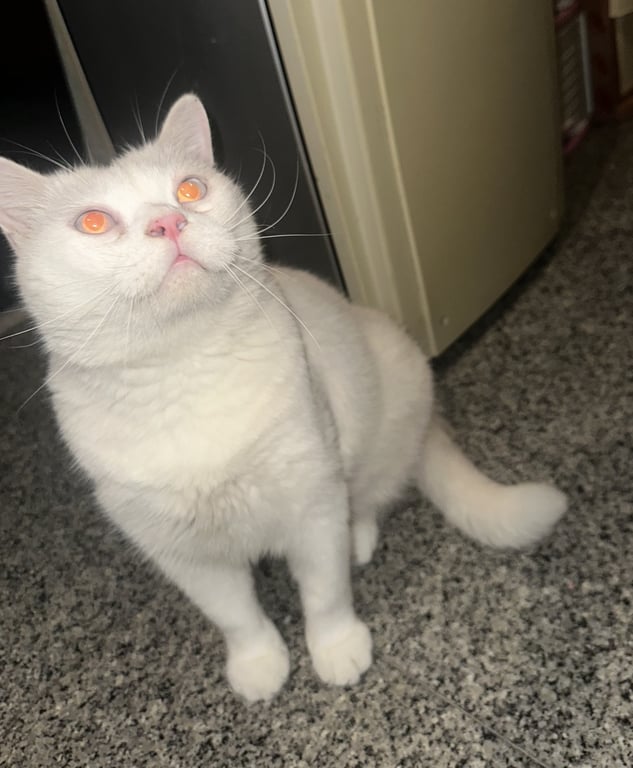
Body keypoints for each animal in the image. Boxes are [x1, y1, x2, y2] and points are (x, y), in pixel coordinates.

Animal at [0, 93, 566, 702]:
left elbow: (325, 593)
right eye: (93, 222)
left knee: (369, 498)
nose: (168, 221)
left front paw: (337, 649)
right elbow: (236, 616)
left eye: (190, 190)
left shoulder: (312, 500)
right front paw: (258, 666)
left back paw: (358, 538)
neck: (186, 373)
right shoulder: (180, 551)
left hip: (386, 410)